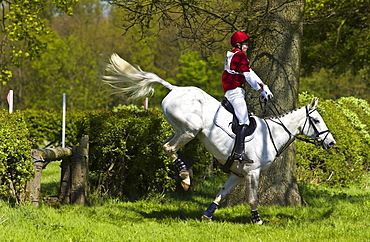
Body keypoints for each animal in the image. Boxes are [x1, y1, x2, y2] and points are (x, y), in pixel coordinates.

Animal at [99, 53, 336, 225]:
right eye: (316, 120)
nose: (331, 142)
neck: (271, 135)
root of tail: (175, 89)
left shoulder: (238, 174)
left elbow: (221, 193)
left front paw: (207, 215)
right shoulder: (252, 172)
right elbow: (253, 198)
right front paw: (257, 221)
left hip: (181, 129)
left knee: (167, 145)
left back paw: (186, 171)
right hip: (190, 130)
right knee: (169, 148)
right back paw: (185, 176)